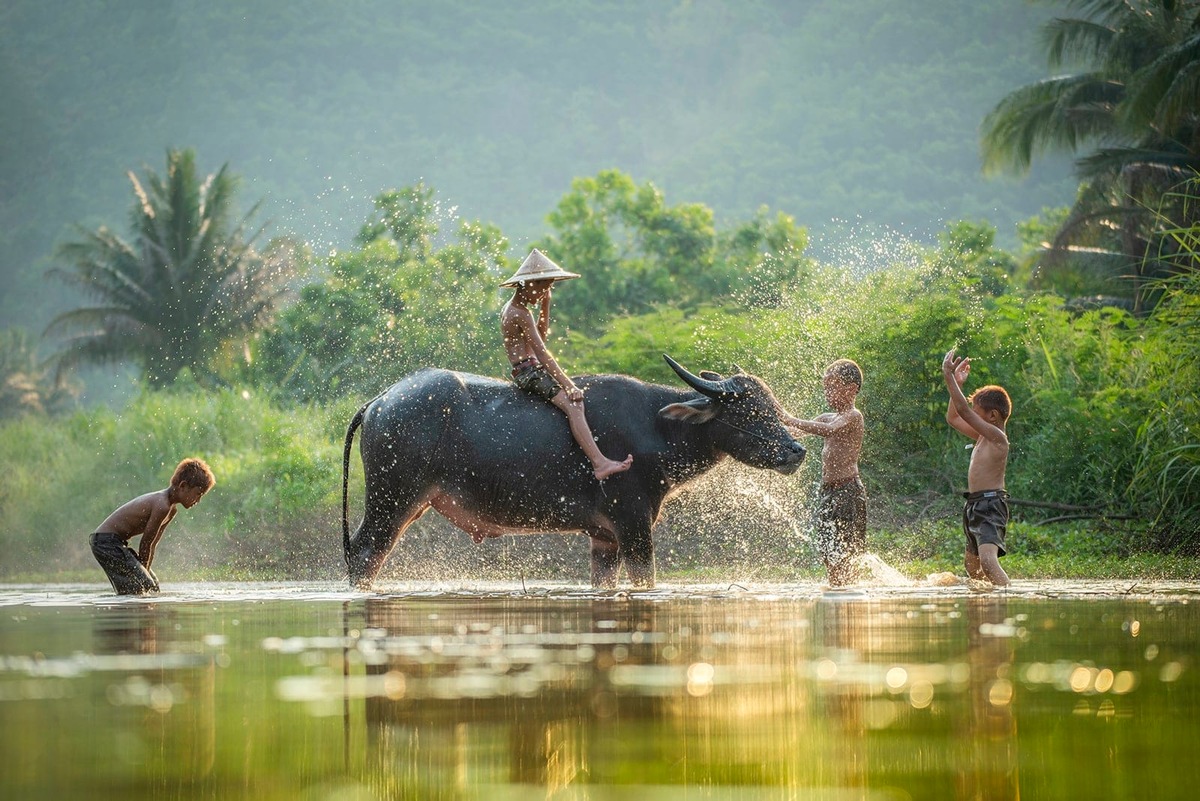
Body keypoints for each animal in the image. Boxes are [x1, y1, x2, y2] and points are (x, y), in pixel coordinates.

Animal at [340, 357, 806, 587]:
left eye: (772, 405)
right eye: (749, 411)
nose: (796, 450)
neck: (655, 427)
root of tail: (381, 399)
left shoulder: (605, 538)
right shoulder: (634, 525)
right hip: (390, 502)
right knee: (365, 555)